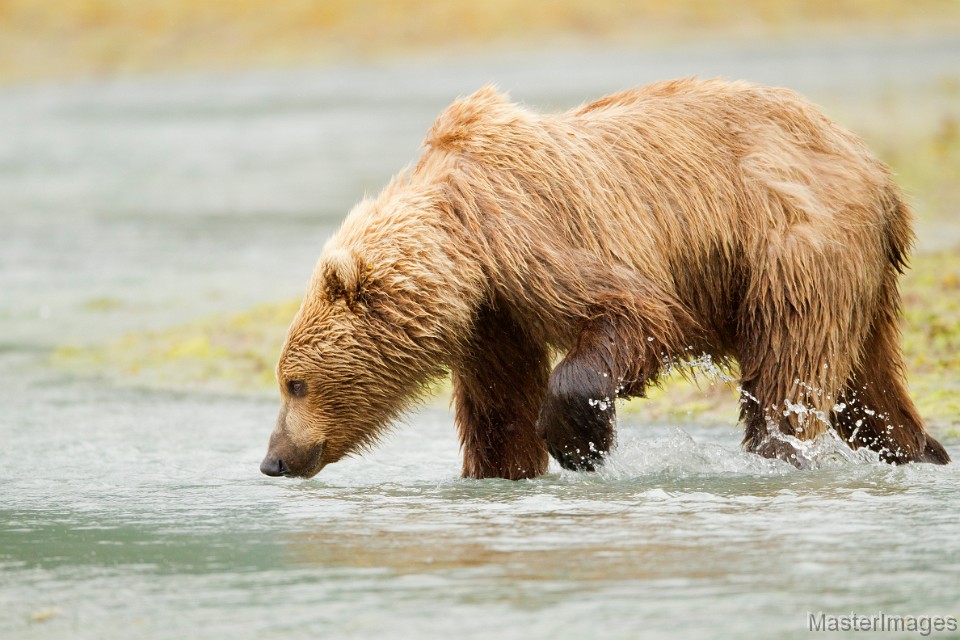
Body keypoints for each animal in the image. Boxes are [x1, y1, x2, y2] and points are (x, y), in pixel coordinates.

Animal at [258, 79, 948, 480]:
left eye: (295, 383)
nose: (273, 459)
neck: (466, 248)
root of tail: (880, 176)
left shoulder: (532, 234)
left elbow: (634, 313)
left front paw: (580, 442)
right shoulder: (493, 318)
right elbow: (499, 408)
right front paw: (503, 469)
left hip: (792, 245)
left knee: (788, 366)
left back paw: (776, 452)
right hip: (857, 282)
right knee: (868, 386)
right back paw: (921, 450)